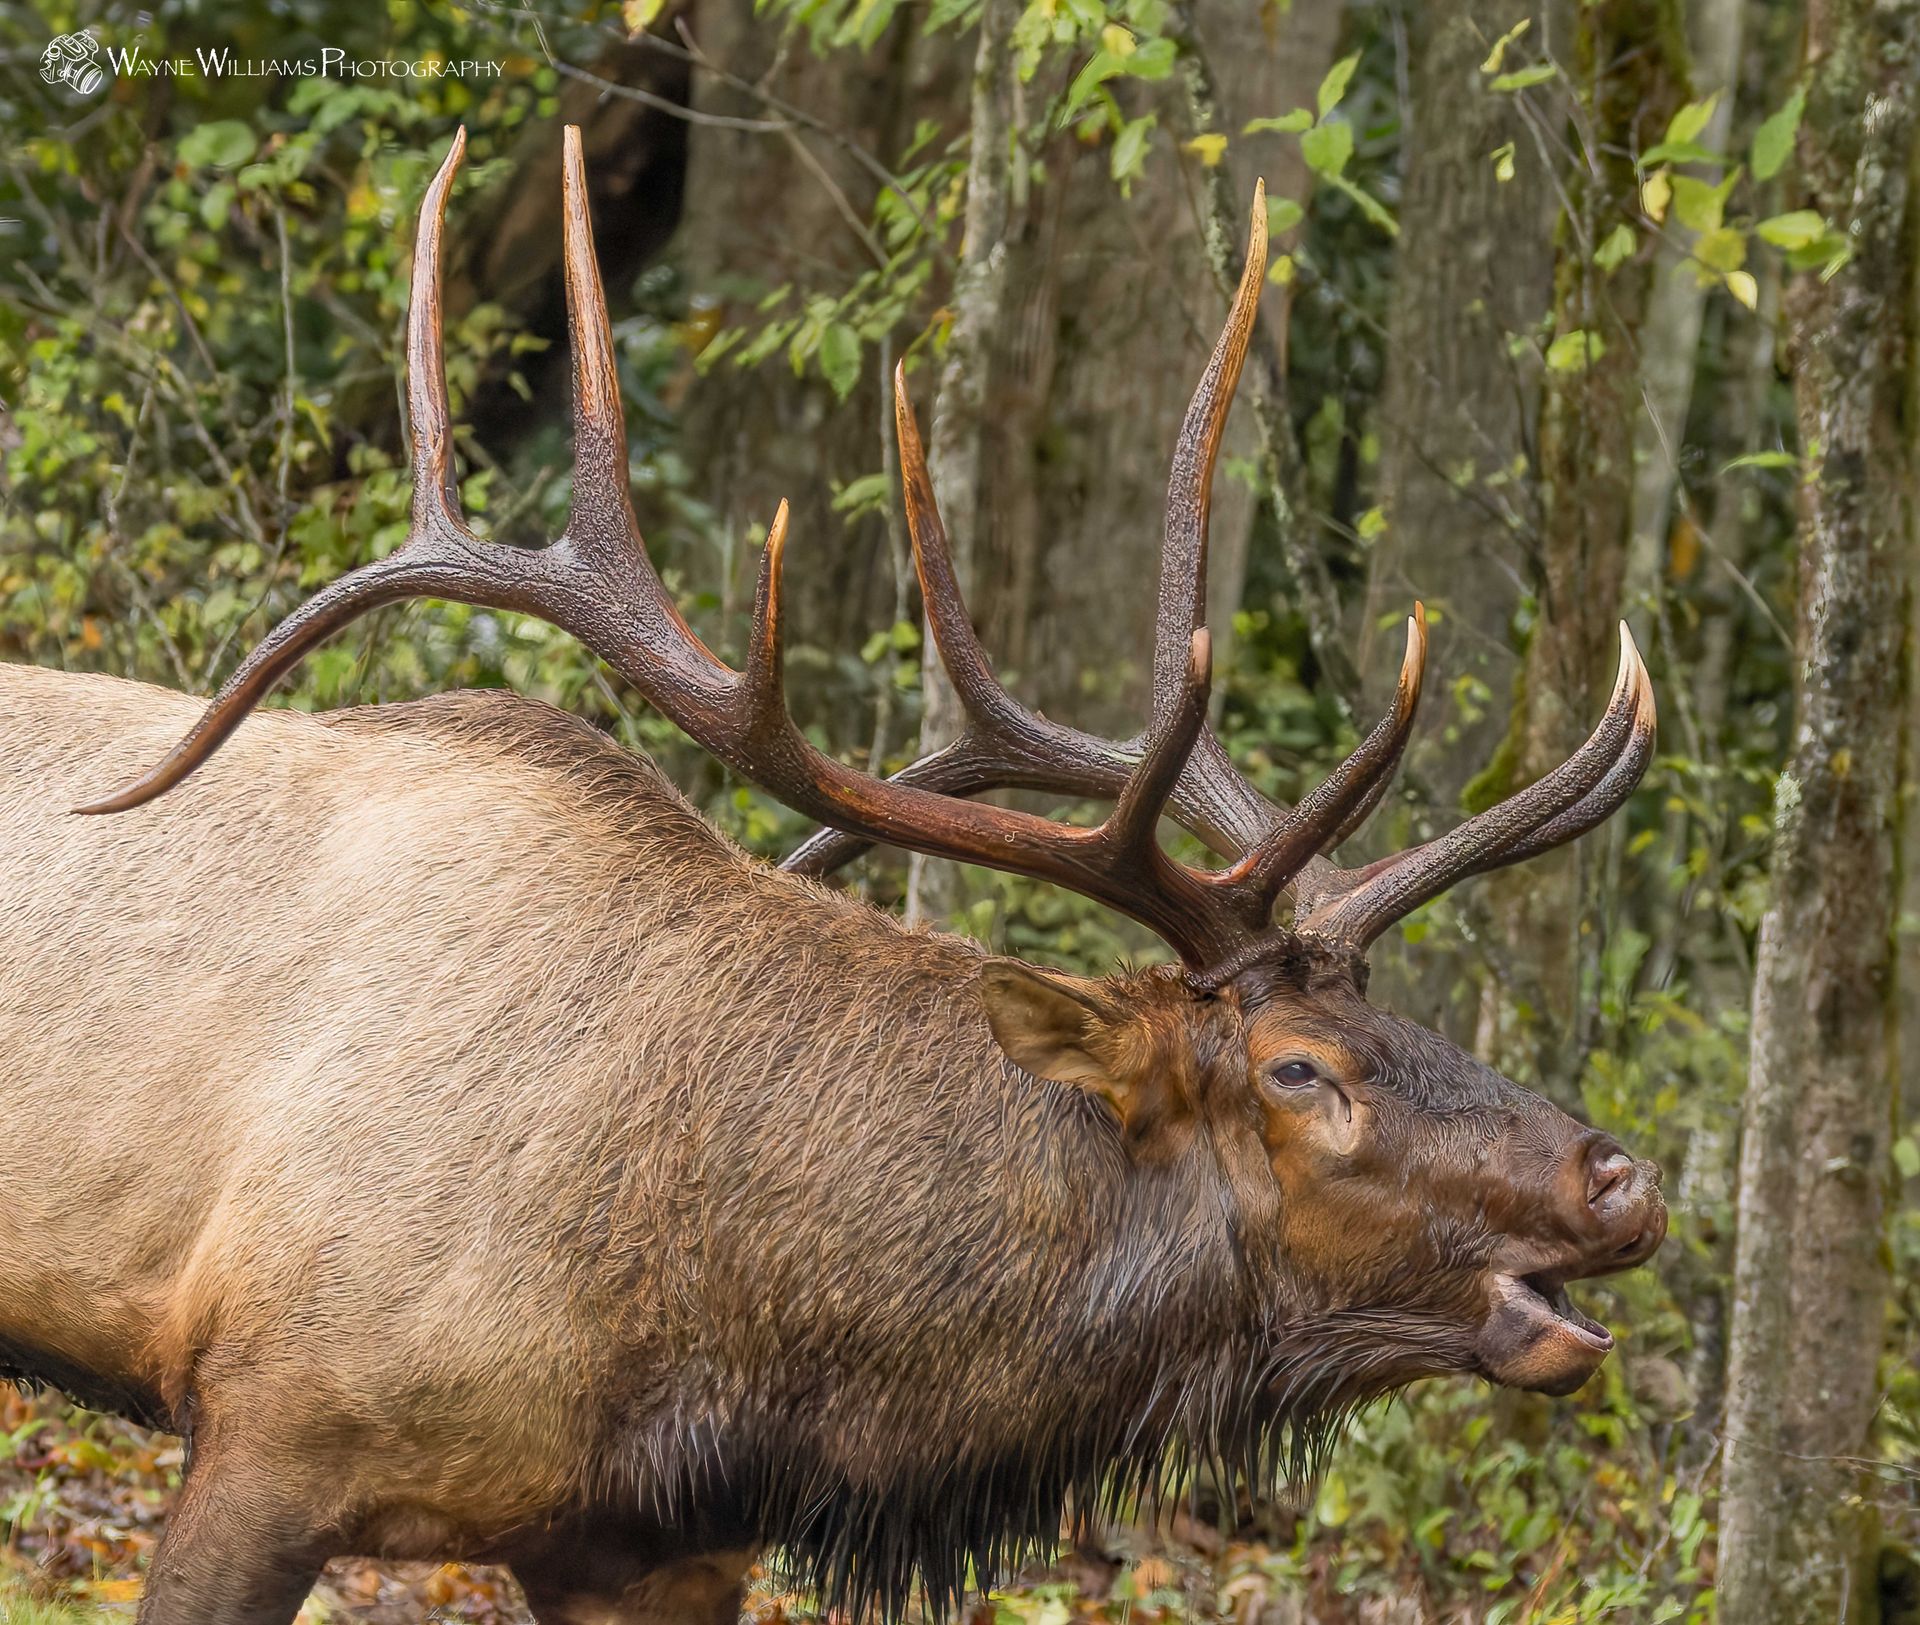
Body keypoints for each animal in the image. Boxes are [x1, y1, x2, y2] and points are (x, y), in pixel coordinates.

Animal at [0, 126, 1664, 1625]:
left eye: (1393, 1016)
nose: (1621, 1175)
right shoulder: (271, 1427)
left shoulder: (650, 1547)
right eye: (1301, 1067)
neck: (734, 1357)